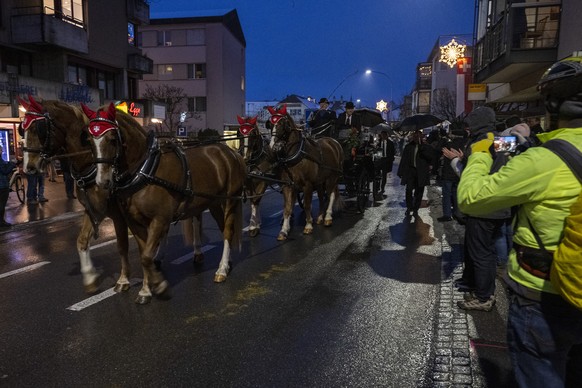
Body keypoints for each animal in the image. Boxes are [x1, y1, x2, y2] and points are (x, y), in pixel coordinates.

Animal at [18, 94, 133, 294]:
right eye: (21, 130)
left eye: (38, 129)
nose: (28, 168)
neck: (90, 163)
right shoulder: (92, 210)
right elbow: (81, 240)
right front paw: (90, 278)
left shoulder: (117, 214)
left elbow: (123, 244)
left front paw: (124, 279)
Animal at [82, 103, 246, 304]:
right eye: (89, 140)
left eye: (113, 139)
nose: (102, 181)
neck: (145, 171)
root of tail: (231, 153)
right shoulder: (134, 222)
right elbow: (144, 254)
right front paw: (146, 290)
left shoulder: (159, 220)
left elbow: (146, 257)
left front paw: (159, 286)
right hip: (214, 203)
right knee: (224, 229)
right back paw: (227, 263)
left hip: (230, 200)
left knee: (228, 230)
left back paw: (221, 269)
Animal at [270, 104, 346, 241]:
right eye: (269, 123)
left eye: (283, 123)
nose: (274, 146)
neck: (297, 154)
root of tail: (334, 142)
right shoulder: (287, 185)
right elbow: (287, 208)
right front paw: (284, 231)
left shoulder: (308, 185)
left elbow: (307, 205)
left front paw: (308, 225)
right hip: (321, 181)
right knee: (321, 196)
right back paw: (320, 217)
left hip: (332, 177)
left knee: (331, 195)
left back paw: (328, 217)